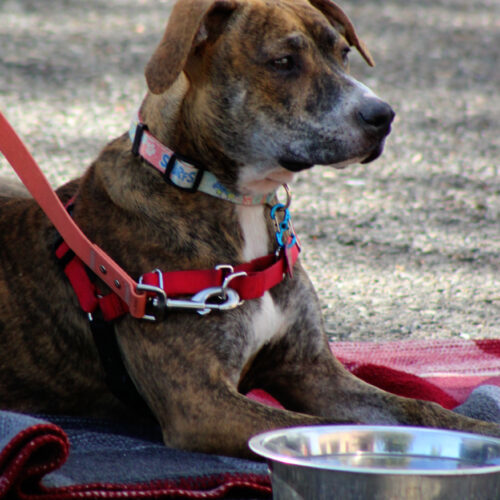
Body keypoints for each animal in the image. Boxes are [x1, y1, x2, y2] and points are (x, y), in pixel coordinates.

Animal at [0, 0, 500, 458]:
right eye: (283, 62)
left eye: (343, 52)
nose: (383, 115)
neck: (236, 203)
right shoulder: (201, 402)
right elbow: (305, 428)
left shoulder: (313, 370)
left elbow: (419, 409)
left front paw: (482, 432)